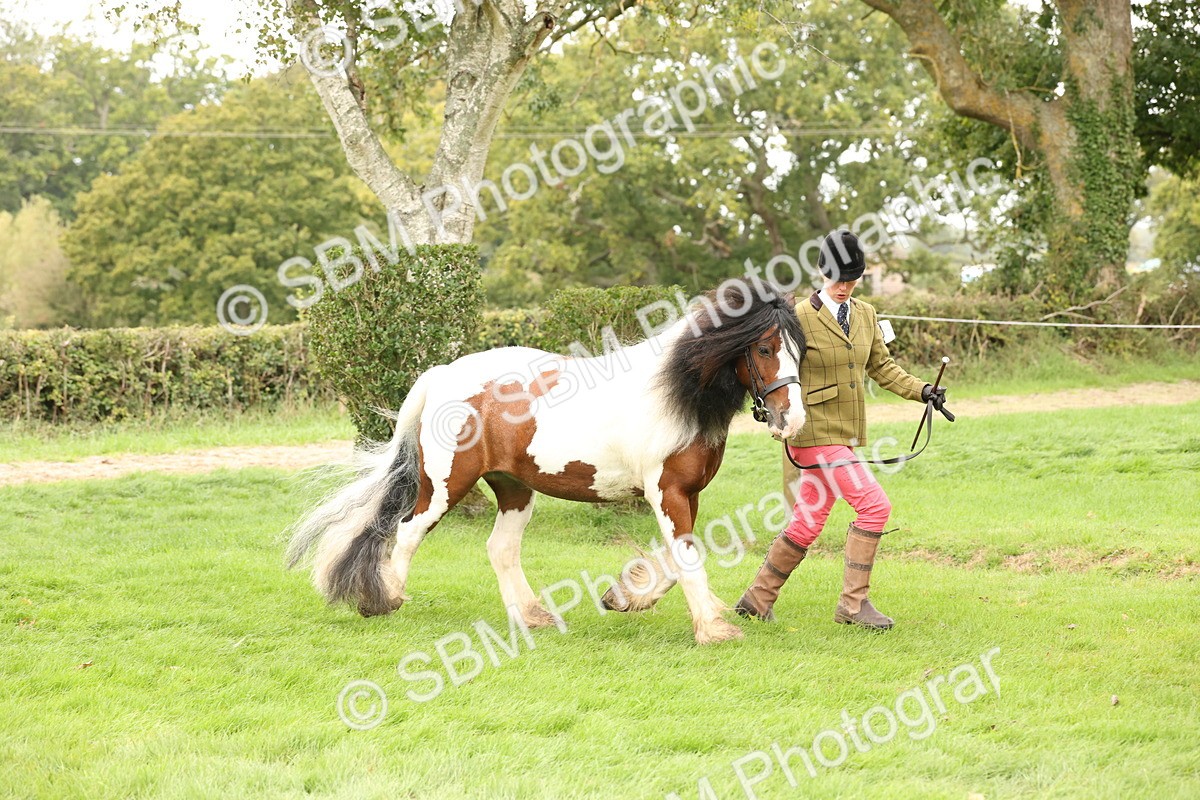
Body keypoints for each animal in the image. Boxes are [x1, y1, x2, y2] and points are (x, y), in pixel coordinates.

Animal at [286, 281, 807, 644]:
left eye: (801, 350)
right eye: (764, 348)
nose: (793, 419)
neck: (674, 394)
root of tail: (442, 374)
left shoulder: (686, 495)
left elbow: (677, 560)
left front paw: (625, 596)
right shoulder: (668, 493)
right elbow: (686, 559)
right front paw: (714, 630)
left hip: (514, 488)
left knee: (500, 548)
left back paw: (532, 615)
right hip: (445, 486)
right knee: (408, 531)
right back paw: (387, 598)